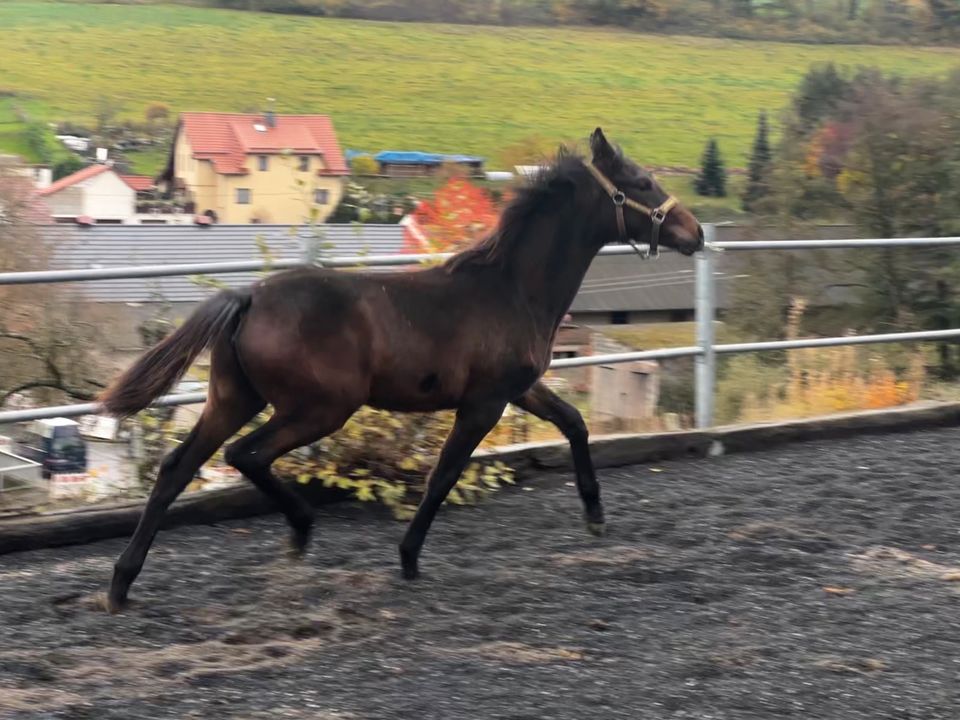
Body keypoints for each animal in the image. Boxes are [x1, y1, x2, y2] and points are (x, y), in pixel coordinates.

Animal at [97, 126, 704, 612]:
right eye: (643, 183)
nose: (696, 233)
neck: (511, 289)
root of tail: (247, 297)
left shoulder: (520, 389)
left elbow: (575, 423)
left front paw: (595, 515)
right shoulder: (484, 403)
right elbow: (444, 474)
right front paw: (409, 558)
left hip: (233, 397)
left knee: (177, 468)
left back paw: (122, 584)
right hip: (318, 409)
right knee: (245, 455)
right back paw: (299, 530)